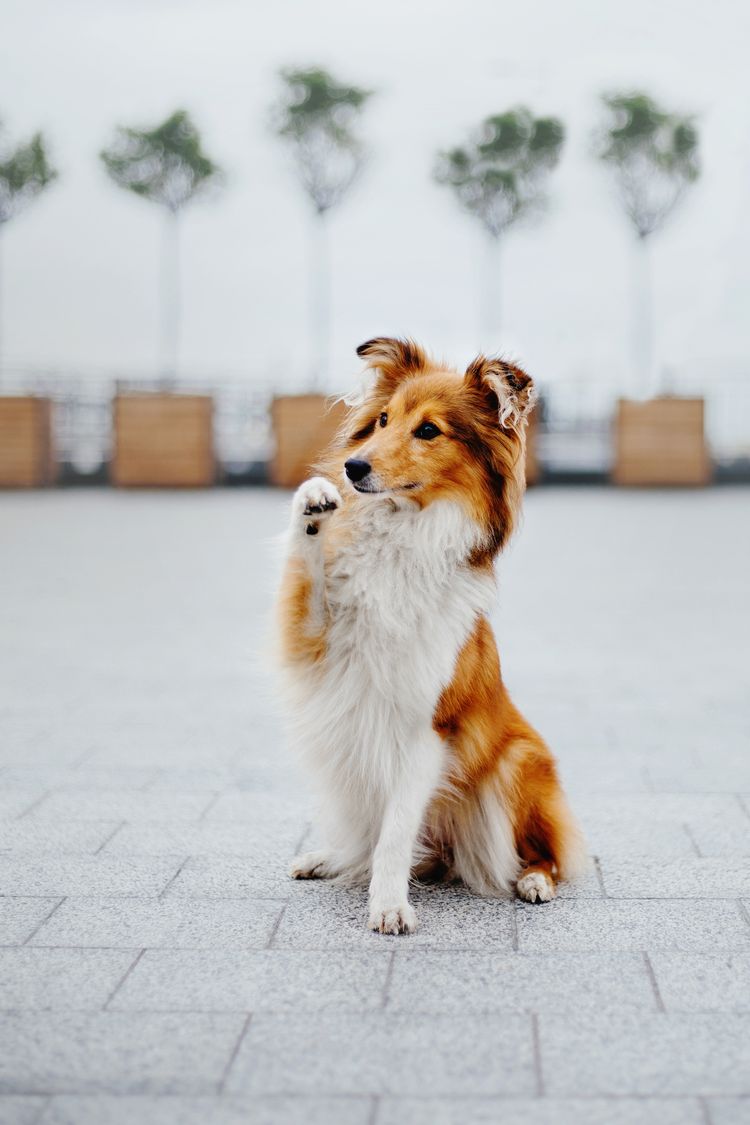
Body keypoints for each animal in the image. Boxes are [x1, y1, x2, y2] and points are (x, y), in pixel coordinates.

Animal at [275, 337, 584, 936]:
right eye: (382, 421)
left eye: (428, 430)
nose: (351, 467)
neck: (402, 533)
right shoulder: (315, 643)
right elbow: (307, 572)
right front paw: (313, 505)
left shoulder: (428, 726)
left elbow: (396, 832)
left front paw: (389, 905)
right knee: (366, 838)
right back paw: (327, 857)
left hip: (519, 762)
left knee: (546, 851)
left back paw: (534, 881)